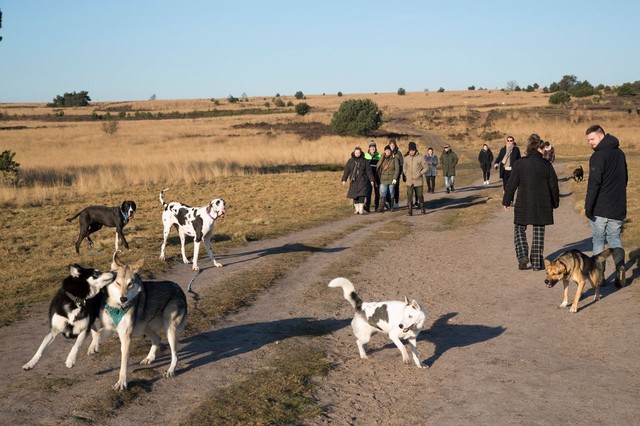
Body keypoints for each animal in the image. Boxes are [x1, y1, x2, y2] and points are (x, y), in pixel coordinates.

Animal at [90, 253, 190, 390]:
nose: (123, 298)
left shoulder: (126, 337)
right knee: (157, 339)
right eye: (118, 283)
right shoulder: (109, 327)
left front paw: (122, 382)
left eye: (130, 284)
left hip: (170, 330)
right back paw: (149, 358)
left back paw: (170, 370)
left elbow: (123, 364)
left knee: (175, 355)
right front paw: (92, 347)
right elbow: (97, 333)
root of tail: (179, 288)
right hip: (144, 327)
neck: (117, 307)